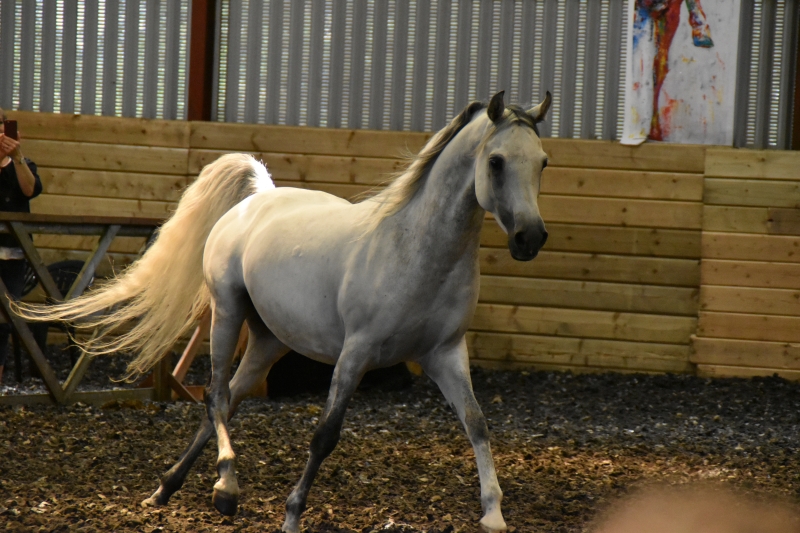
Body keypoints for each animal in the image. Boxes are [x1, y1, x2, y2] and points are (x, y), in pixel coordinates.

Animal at [15, 91, 552, 532]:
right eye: (497, 161)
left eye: (543, 162)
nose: (531, 238)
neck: (415, 250)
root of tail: (257, 198)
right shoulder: (356, 354)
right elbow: (325, 434)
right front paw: (292, 514)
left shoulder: (445, 354)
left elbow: (477, 423)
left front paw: (493, 513)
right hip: (227, 313)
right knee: (215, 396)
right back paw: (225, 489)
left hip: (268, 341)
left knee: (227, 399)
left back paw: (167, 489)